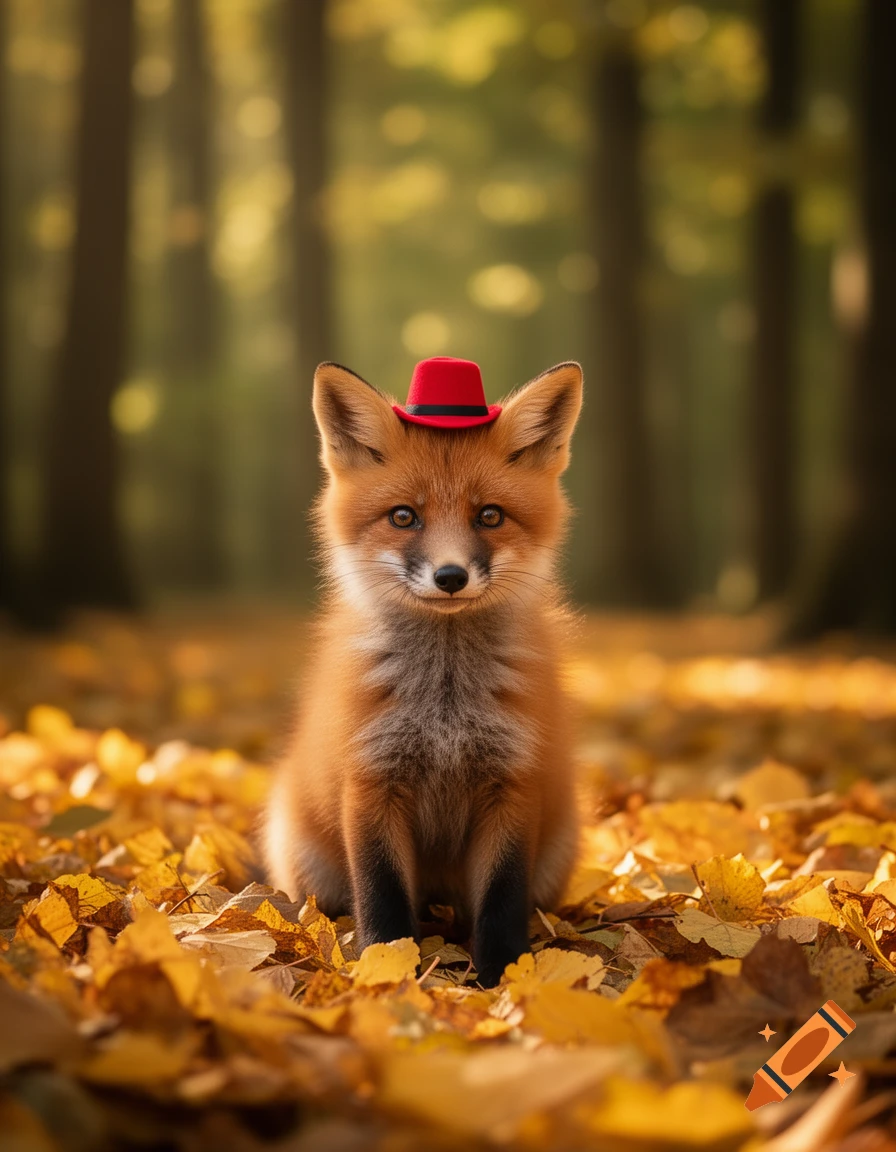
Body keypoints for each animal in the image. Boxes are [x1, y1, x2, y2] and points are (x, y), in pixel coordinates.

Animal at [264, 358, 583, 986]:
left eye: (490, 515)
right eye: (404, 516)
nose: (451, 576)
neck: (445, 704)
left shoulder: (513, 783)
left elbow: (502, 899)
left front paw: (504, 979)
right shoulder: (370, 780)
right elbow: (382, 894)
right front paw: (386, 970)